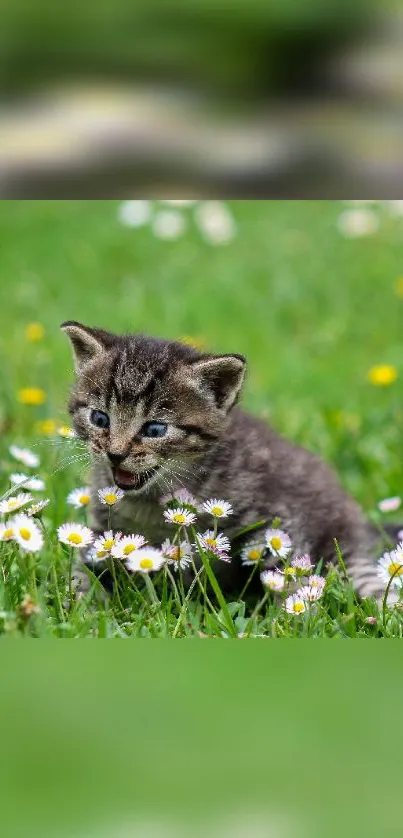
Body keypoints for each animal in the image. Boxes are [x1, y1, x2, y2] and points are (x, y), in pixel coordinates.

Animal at [62, 322, 392, 604]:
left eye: (154, 429)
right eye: (99, 418)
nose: (115, 454)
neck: (150, 502)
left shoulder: (277, 518)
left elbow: (287, 572)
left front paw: (291, 617)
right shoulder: (103, 527)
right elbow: (84, 568)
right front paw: (82, 603)